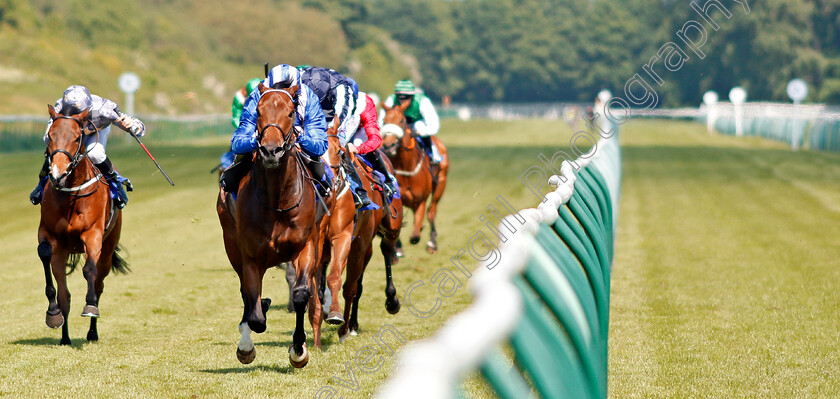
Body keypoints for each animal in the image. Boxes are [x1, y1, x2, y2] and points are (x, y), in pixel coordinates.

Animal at [37, 104, 127, 346]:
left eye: (77, 137)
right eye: (50, 135)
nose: (57, 174)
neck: (71, 194)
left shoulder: (93, 235)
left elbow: (89, 271)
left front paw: (90, 306)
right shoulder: (48, 234)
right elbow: (45, 254)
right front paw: (52, 314)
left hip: (108, 248)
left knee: (99, 283)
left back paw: (92, 332)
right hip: (63, 253)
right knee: (64, 295)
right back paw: (65, 336)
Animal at [217, 86, 328, 370]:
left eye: (290, 112)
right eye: (257, 111)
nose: (270, 151)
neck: (278, 200)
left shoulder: (306, 246)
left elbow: (301, 294)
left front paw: (298, 350)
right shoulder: (251, 256)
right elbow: (255, 314)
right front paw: (247, 345)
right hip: (231, 245)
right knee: (247, 296)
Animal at [378, 101, 446, 255]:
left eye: (401, 121)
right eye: (384, 120)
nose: (389, 145)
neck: (407, 167)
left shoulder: (420, 200)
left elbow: (415, 236)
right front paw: (397, 248)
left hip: (440, 183)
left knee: (431, 211)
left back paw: (432, 243)